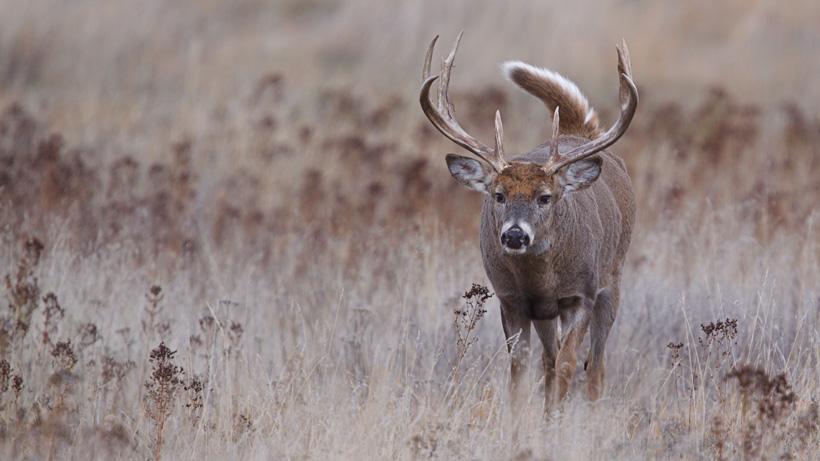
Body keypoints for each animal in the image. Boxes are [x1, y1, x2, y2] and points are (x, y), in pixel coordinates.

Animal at [420, 32, 638, 411]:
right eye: (498, 195)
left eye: (545, 197)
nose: (515, 236)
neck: (541, 281)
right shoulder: (511, 300)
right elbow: (521, 370)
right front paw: (522, 421)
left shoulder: (581, 294)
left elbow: (568, 364)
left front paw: (558, 421)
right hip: (546, 313)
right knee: (548, 360)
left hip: (613, 277)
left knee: (595, 364)